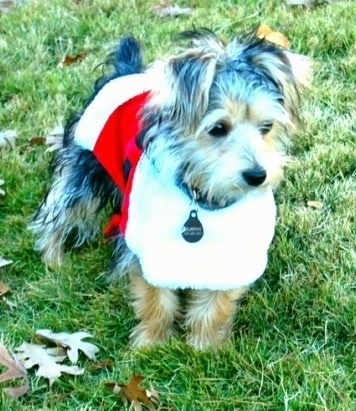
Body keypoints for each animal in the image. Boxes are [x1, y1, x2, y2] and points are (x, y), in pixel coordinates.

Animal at [31, 29, 312, 350]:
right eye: (218, 128)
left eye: (266, 127)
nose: (257, 175)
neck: (203, 198)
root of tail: (125, 72)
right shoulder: (150, 243)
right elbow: (156, 295)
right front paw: (152, 343)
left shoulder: (236, 246)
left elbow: (216, 302)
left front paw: (204, 346)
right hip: (83, 169)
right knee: (61, 209)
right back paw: (53, 257)